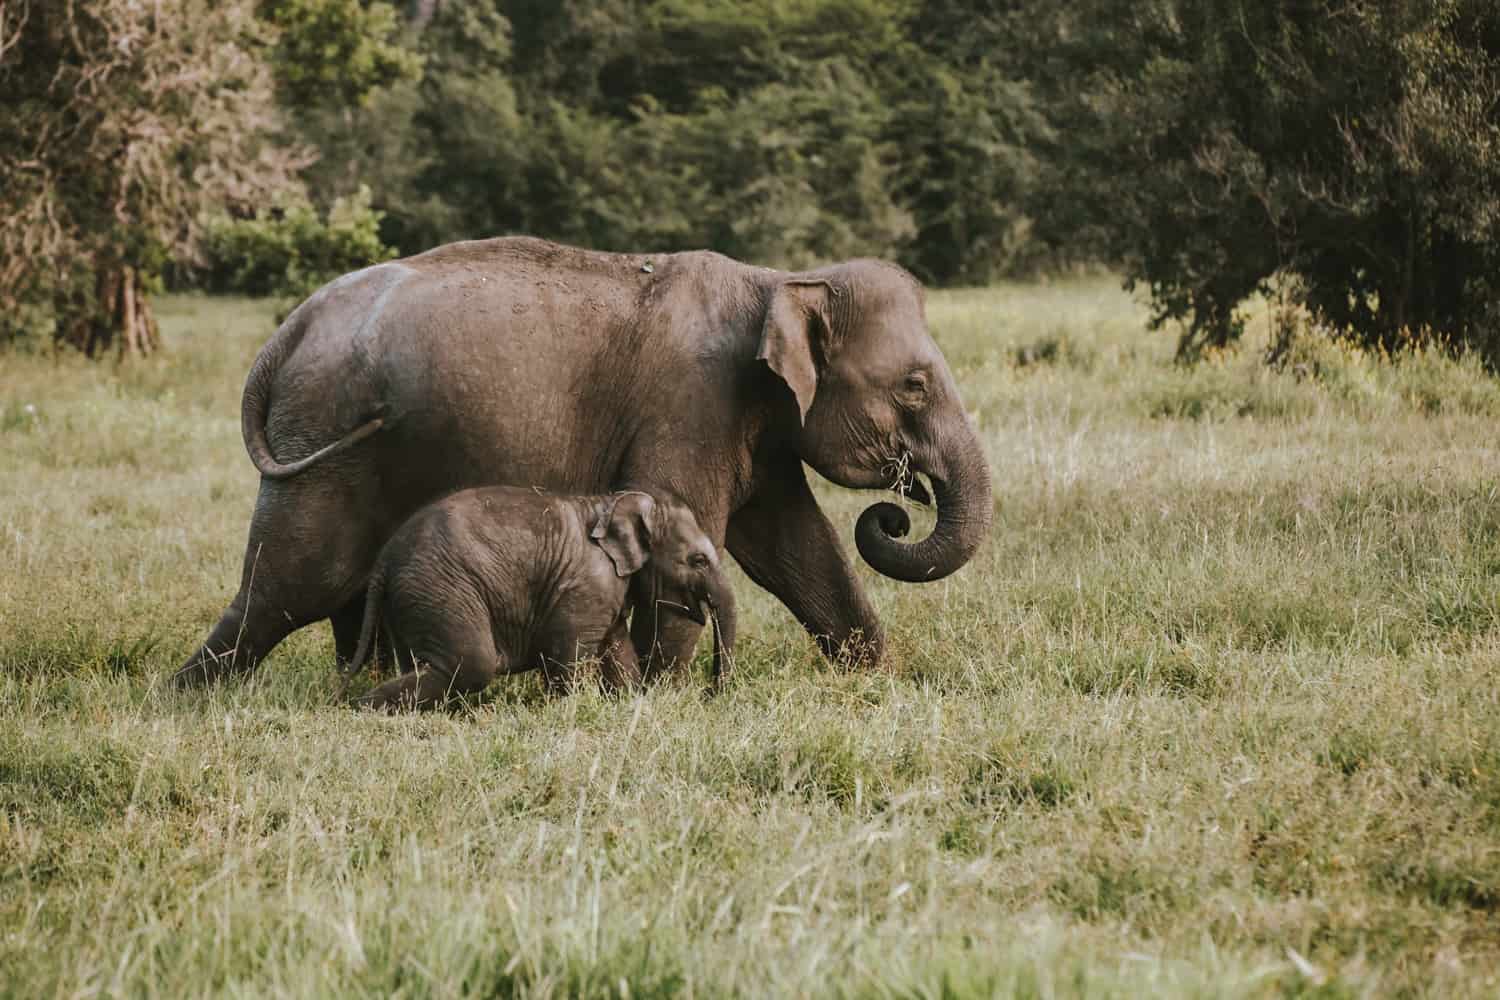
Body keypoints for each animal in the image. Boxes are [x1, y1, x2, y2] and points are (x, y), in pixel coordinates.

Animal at [175, 238, 990, 683]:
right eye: (915, 385)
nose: (895, 511)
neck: (777, 281)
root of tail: (288, 331)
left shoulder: (753, 427)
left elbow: (799, 549)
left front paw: (878, 683)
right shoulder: (691, 405)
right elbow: (683, 540)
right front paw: (659, 697)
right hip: (321, 443)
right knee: (292, 585)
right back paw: (188, 693)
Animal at [342, 485, 738, 710]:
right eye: (698, 560)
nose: (709, 695)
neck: (613, 503)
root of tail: (384, 561)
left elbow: (617, 648)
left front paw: (630, 700)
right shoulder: (587, 586)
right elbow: (570, 653)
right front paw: (570, 708)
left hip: (412, 598)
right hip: (442, 588)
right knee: (471, 663)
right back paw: (367, 707)